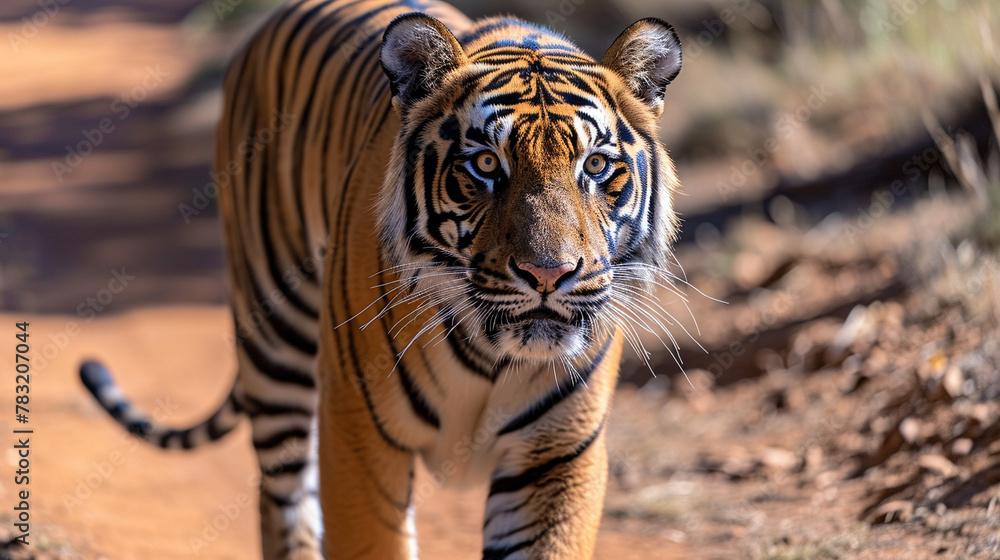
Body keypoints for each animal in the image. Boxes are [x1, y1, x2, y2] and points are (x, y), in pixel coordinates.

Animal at [79, 0, 683, 558]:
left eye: (596, 166)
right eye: (486, 165)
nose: (548, 274)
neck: (494, 356)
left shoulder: (556, 457)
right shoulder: (360, 432)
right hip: (277, 348)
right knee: (282, 503)